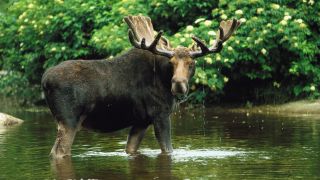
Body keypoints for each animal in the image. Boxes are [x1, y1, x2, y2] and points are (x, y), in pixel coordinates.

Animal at [41, 15, 239, 159]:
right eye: (172, 63)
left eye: (192, 63)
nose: (178, 85)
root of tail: (44, 81)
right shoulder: (160, 114)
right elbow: (168, 150)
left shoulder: (141, 121)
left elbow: (131, 149)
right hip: (69, 120)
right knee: (58, 152)